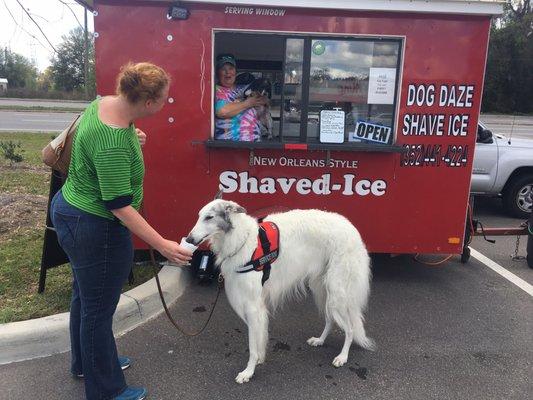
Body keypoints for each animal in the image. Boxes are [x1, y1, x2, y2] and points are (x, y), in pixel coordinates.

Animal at [187, 200, 374, 384]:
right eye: (199, 216)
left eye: (209, 217)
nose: (189, 239)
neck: (242, 241)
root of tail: (353, 230)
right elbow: (259, 338)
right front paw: (259, 360)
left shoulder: (253, 306)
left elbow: (253, 346)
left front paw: (248, 372)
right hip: (322, 290)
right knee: (330, 319)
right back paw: (320, 340)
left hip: (337, 292)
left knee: (350, 328)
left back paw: (342, 357)